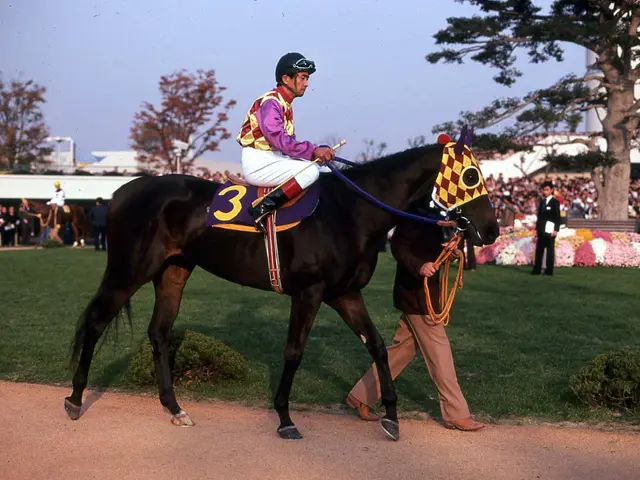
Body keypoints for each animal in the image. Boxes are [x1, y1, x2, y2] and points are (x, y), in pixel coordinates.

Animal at [65, 130, 499, 441]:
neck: (349, 213)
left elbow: (377, 347)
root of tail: (122, 191)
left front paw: (391, 417)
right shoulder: (309, 292)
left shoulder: (345, 294)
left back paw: (174, 409)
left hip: (173, 271)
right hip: (129, 270)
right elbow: (294, 351)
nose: (493, 230)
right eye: (471, 175)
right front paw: (285, 418)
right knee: (96, 321)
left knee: (159, 332)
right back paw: (74, 399)